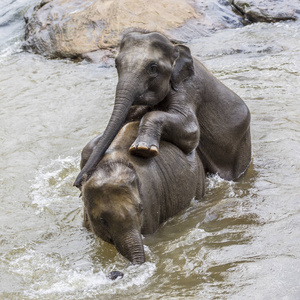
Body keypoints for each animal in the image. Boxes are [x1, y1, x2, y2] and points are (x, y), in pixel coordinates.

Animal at [73, 31, 251, 190]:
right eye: (116, 64)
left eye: (153, 67)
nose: (78, 183)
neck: (175, 48)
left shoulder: (188, 88)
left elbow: (191, 131)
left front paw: (142, 149)